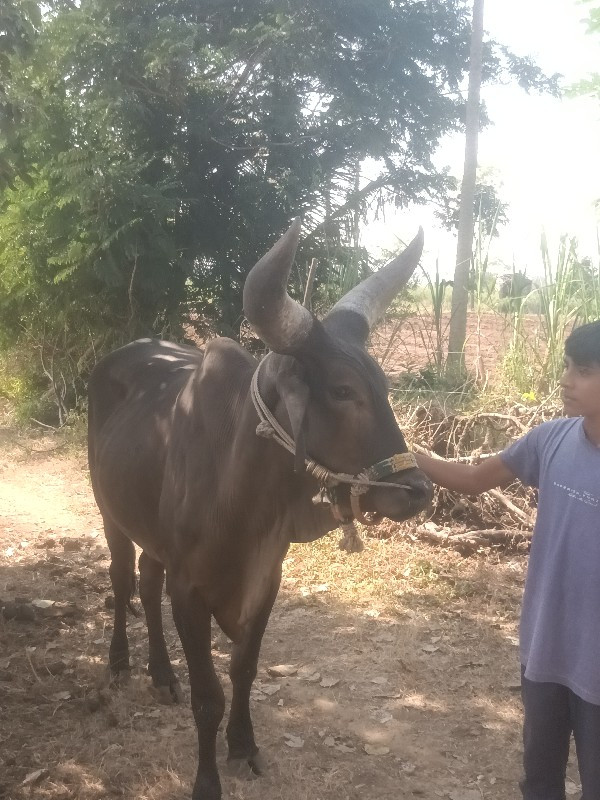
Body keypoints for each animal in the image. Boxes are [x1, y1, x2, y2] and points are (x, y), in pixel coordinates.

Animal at [88, 219, 432, 800]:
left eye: (384, 385)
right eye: (343, 390)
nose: (418, 490)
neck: (242, 495)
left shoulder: (266, 582)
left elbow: (243, 671)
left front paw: (244, 746)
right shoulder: (190, 591)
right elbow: (208, 695)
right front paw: (207, 780)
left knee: (147, 581)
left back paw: (162, 674)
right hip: (110, 512)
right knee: (121, 577)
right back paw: (120, 664)